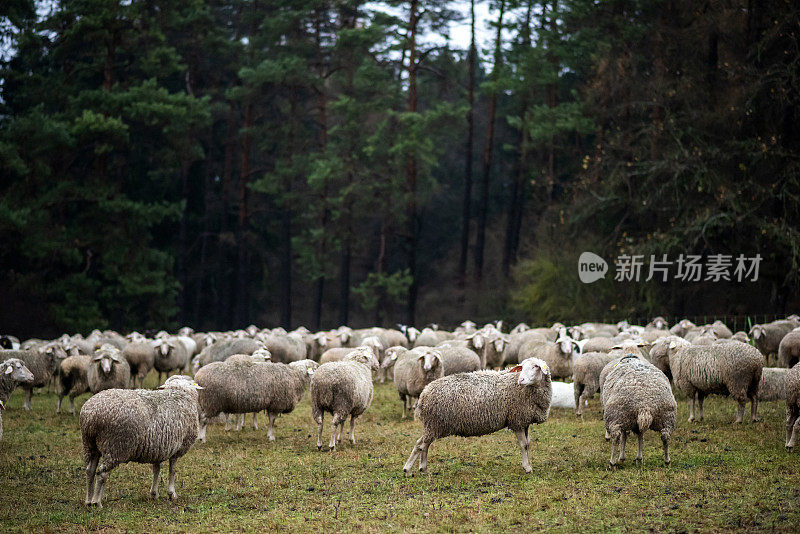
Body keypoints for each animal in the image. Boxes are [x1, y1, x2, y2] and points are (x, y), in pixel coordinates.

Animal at [79, 374, 203, 508]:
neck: (179, 392)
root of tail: (92, 415)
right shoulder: (178, 448)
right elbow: (172, 470)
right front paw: (171, 494)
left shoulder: (159, 448)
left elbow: (156, 469)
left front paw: (154, 493)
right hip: (115, 446)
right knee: (102, 473)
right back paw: (97, 502)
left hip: (90, 444)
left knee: (90, 471)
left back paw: (88, 500)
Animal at [404, 356, 552, 478]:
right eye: (521, 367)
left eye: (536, 367)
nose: (521, 380)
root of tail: (424, 393)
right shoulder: (517, 420)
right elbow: (523, 445)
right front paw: (527, 467)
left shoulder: (524, 421)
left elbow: (528, 444)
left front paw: (528, 464)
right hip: (435, 423)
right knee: (420, 444)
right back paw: (408, 470)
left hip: (433, 425)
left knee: (425, 445)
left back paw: (423, 469)